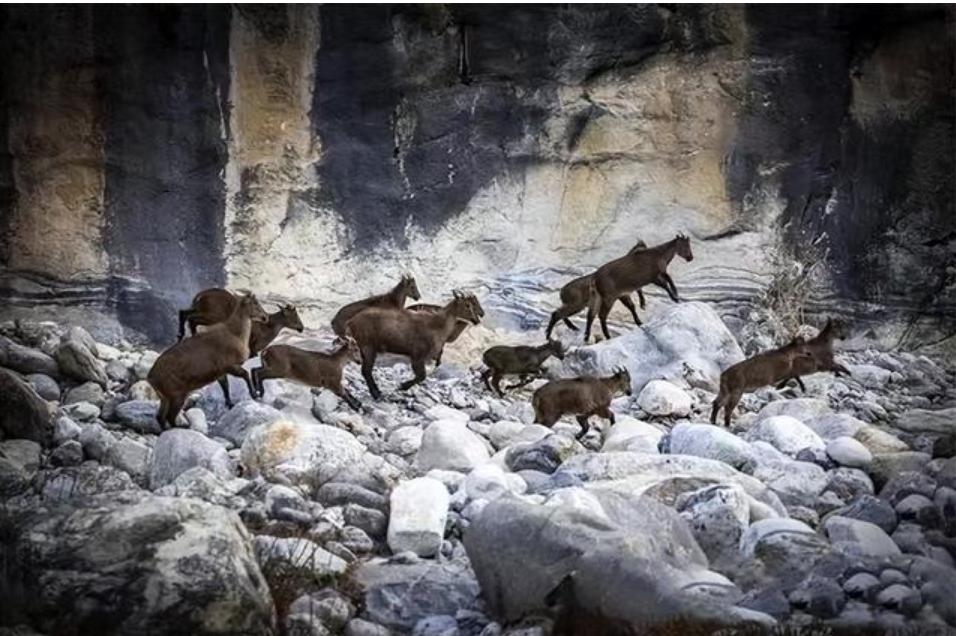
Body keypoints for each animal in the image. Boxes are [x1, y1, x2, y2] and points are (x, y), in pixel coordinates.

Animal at [149, 294, 268, 428]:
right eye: (255, 304)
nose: (265, 317)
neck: (236, 334)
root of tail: (151, 378)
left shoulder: (220, 372)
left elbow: (225, 387)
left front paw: (230, 404)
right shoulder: (229, 365)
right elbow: (245, 374)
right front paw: (255, 394)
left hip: (165, 398)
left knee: (160, 417)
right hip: (177, 395)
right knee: (169, 417)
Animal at [548, 242, 676, 342]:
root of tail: (562, 292)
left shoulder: (623, 294)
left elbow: (632, 306)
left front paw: (640, 319)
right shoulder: (620, 295)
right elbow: (632, 304)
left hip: (578, 305)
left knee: (562, 313)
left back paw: (573, 328)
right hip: (577, 304)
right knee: (559, 313)